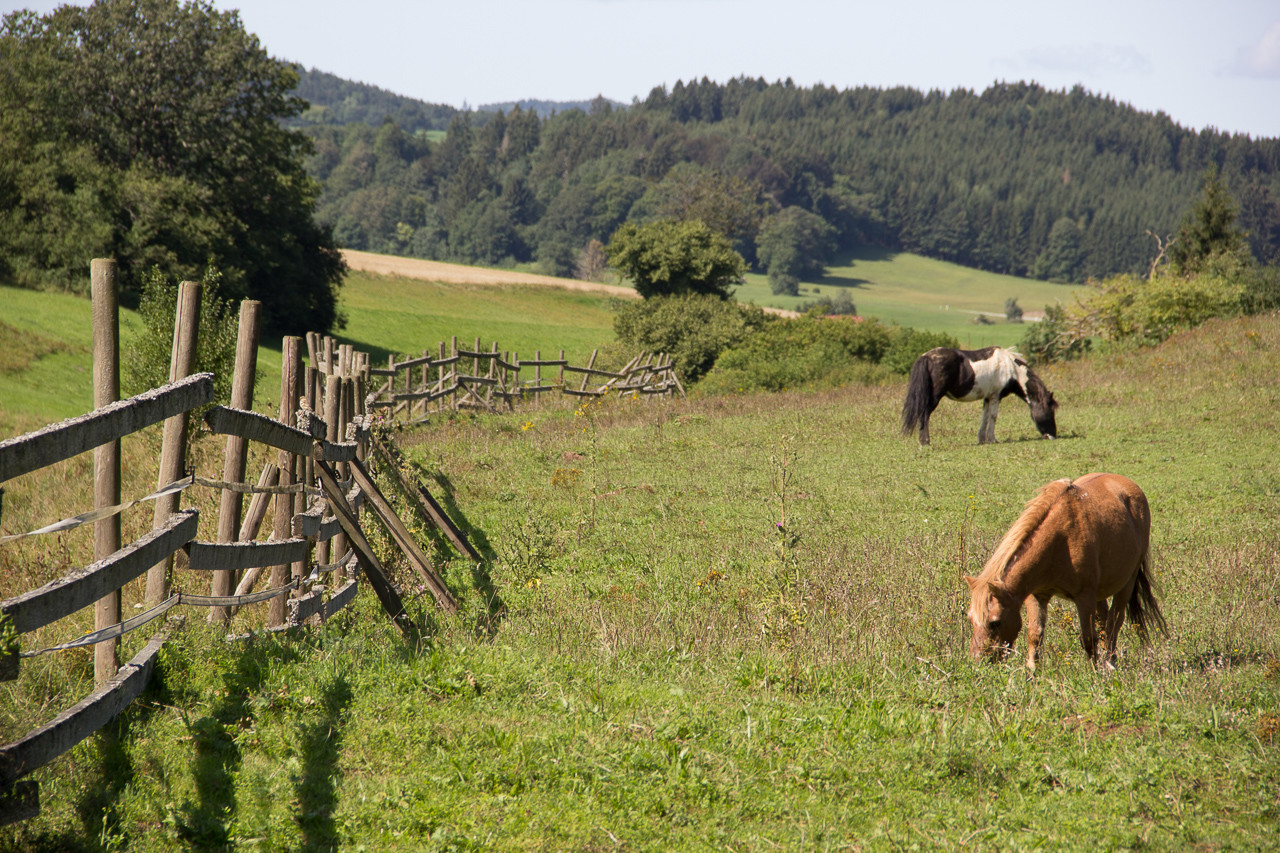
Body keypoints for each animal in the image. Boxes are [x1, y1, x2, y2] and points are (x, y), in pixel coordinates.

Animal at [901, 345, 1059, 445]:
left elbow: (984, 417)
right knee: (925, 414)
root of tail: (926, 357)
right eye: (1050, 411)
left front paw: (982, 440)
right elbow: (993, 417)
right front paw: (992, 439)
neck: (1011, 369)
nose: (1053, 435)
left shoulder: (987, 397)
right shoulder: (995, 397)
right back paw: (925, 441)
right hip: (934, 397)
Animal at [962, 471, 1167, 671]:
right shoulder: (1036, 596)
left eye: (994, 622)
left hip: (1126, 583)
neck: (1061, 539)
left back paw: (1110, 663)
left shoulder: (1084, 597)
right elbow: (1035, 636)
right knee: (1104, 621)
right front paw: (1032, 674)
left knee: (1113, 624)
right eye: (970, 619)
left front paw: (1094, 674)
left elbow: (1088, 639)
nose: (978, 662)